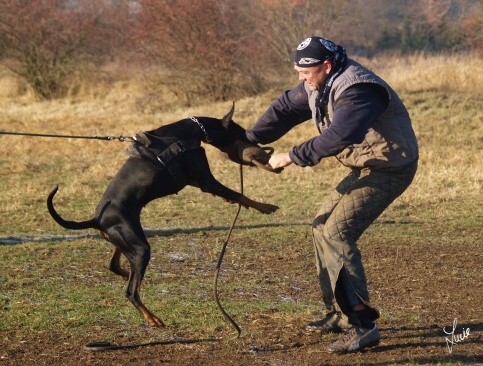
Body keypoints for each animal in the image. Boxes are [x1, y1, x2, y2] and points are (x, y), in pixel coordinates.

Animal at [48, 103, 280, 326]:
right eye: (241, 133)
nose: (259, 150)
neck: (191, 131)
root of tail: (97, 219)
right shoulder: (206, 179)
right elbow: (239, 194)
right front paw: (265, 206)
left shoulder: (193, 178)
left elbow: (230, 194)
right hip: (140, 246)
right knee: (131, 292)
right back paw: (153, 319)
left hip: (123, 241)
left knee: (116, 267)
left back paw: (130, 276)